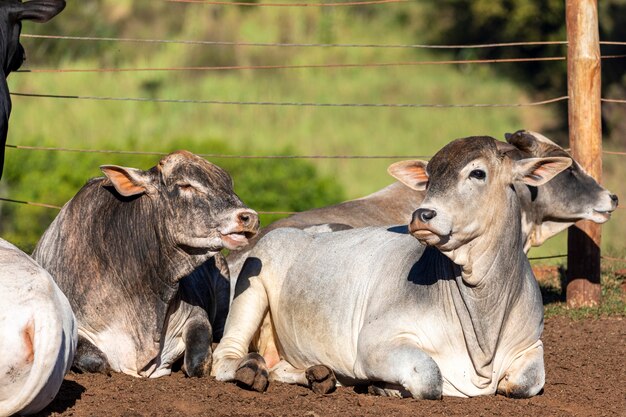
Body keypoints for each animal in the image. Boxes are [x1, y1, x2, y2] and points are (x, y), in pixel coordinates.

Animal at [33, 150, 258, 376]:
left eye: (228, 183)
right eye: (185, 185)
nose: (249, 217)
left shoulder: (196, 315)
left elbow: (198, 362)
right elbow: (96, 361)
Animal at [213, 136, 580, 396]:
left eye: (478, 172)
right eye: (428, 177)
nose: (422, 214)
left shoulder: (531, 345)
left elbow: (526, 383)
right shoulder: (375, 343)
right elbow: (430, 378)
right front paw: (383, 387)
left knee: (280, 368)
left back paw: (317, 375)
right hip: (250, 292)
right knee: (225, 358)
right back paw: (251, 370)